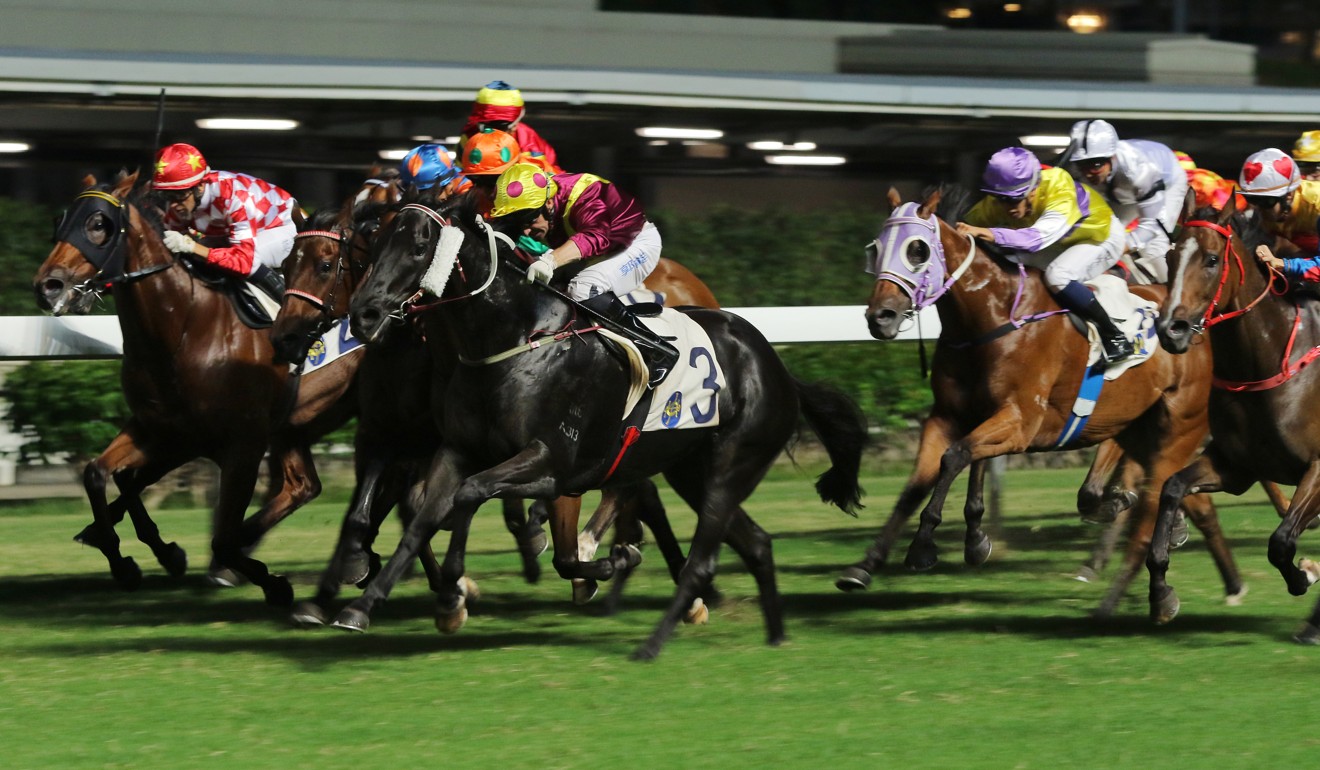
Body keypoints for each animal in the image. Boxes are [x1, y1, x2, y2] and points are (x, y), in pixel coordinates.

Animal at [34, 173, 356, 602]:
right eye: (61, 220)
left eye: (98, 224)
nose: (48, 286)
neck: (184, 326)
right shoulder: (159, 427)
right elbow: (99, 473)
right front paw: (130, 559)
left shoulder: (234, 442)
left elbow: (208, 525)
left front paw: (267, 580)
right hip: (298, 423)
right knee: (301, 486)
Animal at [335, 192, 865, 657]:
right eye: (374, 246)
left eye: (419, 247)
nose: (364, 314)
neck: (517, 338)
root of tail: (779, 369)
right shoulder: (458, 449)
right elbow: (423, 519)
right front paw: (366, 605)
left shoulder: (550, 460)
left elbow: (470, 496)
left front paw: (452, 590)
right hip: (692, 471)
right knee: (756, 543)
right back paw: (775, 637)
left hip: (730, 467)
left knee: (705, 559)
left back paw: (655, 642)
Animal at [839, 188, 1240, 620]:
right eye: (875, 248)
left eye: (917, 250)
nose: (880, 316)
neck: (989, 318)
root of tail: (1199, 320)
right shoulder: (948, 417)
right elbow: (917, 485)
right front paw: (867, 565)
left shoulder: (1021, 421)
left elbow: (954, 457)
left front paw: (925, 546)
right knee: (1175, 494)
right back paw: (1222, 576)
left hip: (1178, 421)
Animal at [1151, 202, 1320, 641]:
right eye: (1170, 257)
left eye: (1212, 260)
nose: (1170, 329)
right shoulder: (1236, 466)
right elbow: (1172, 488)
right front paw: (1160, 594)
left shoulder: (1319, 467)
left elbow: (1281, 541)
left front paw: (1305, 575)